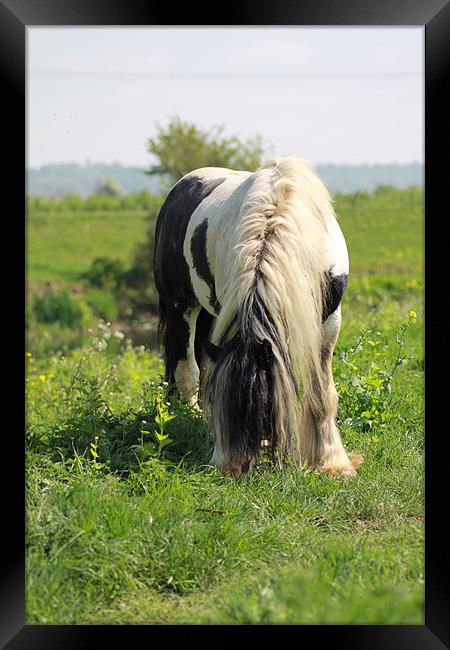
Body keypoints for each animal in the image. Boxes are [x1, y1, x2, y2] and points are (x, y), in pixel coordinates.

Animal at [154, 157, 362, 476]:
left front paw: (331, 462)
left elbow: (322, 393)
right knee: (186, 370)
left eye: (261, 405)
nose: (231, 470)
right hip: (180, 306)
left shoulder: (329, 322)